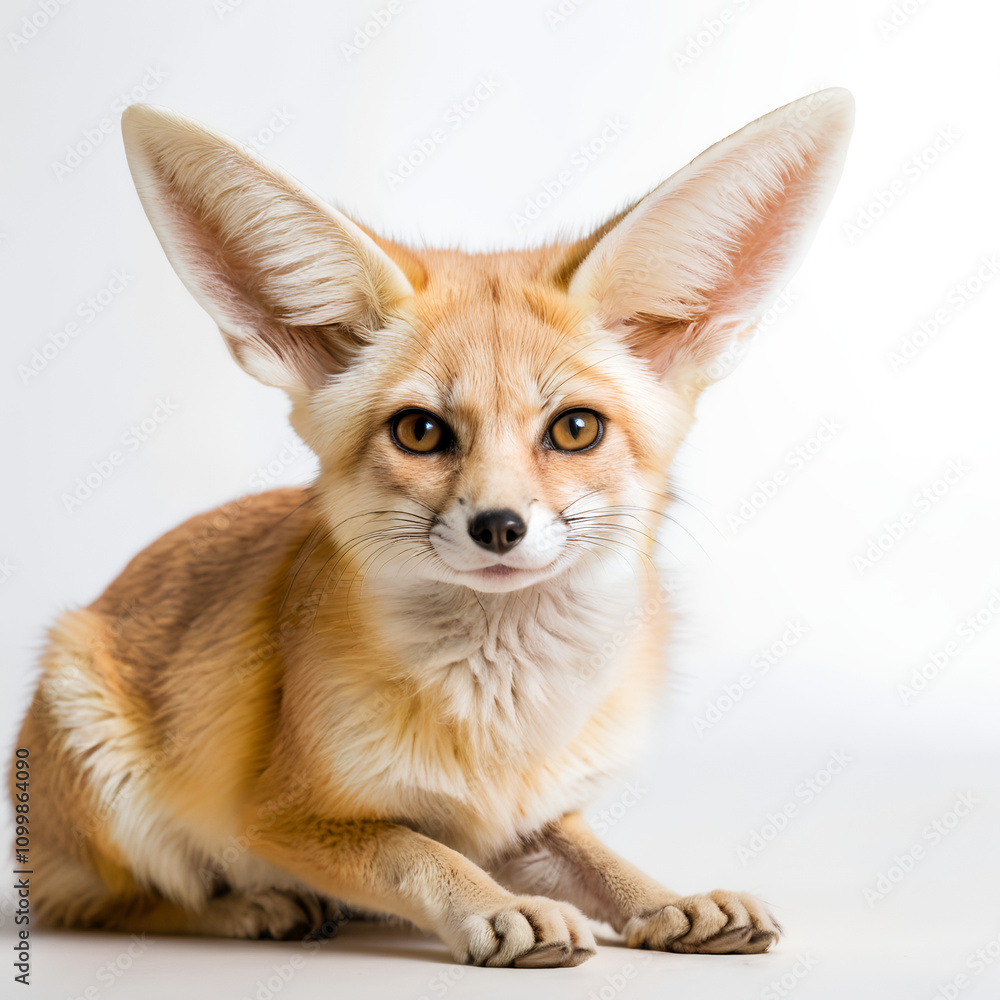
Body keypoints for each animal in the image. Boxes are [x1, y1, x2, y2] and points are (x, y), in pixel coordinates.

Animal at [12, 89, 853, 968]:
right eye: (420, 432)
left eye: (575, 429)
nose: (499, 526)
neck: (499, 724)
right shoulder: (287, 817)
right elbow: (419, 852)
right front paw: (498, 909)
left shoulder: (530, 816)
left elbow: (598, 857)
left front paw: (669, 900)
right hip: (102, 766)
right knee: (114, 904)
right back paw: (253, 907)